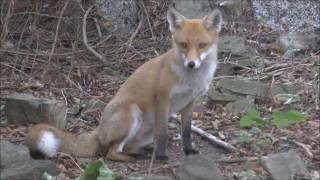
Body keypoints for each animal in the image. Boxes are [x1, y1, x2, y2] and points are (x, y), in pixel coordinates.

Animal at [25, 7, 222, 162]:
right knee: (110, 153)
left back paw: (141, 151)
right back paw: (134, 157)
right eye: (184, 45)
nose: (191, 64)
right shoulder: (162, 98)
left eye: (202, 45)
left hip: (144, 130)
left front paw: (188, 150)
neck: (191, 79)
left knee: (125, 147)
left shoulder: (190, 102)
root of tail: (98, 130)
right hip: (133, 112)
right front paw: (161, 156)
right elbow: (164, 133)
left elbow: (187, 132)